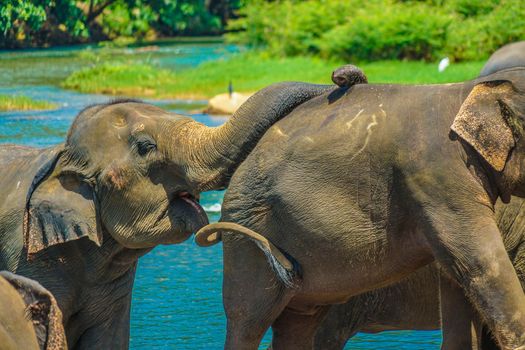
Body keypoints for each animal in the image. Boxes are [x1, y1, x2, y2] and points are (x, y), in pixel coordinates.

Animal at [196, 66, 525, 350]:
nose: (342, 76)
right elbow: (480, 264)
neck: (473, 89)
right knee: (248, 319)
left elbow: (458, 276)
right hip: (248, 231)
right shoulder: (437, 176)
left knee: (299, 322)